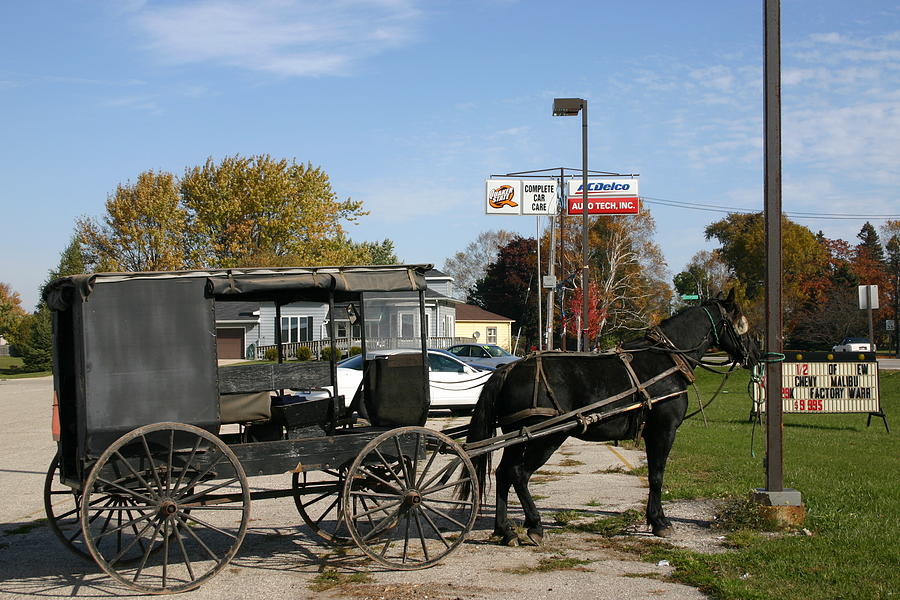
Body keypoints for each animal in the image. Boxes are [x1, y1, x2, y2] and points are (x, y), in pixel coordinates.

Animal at [468, 292, 756, 548]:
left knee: (504, 473)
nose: (754, 354)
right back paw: (535, 525)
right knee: (519, 474)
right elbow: (657, 476)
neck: (668, 359)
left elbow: (653, 474)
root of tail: (510, 368)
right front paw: (659, 522)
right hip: (547, 437)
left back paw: (504, 530)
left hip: (518, 436)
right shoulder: (664, 430)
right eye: (742, 323)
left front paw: (656, 519)